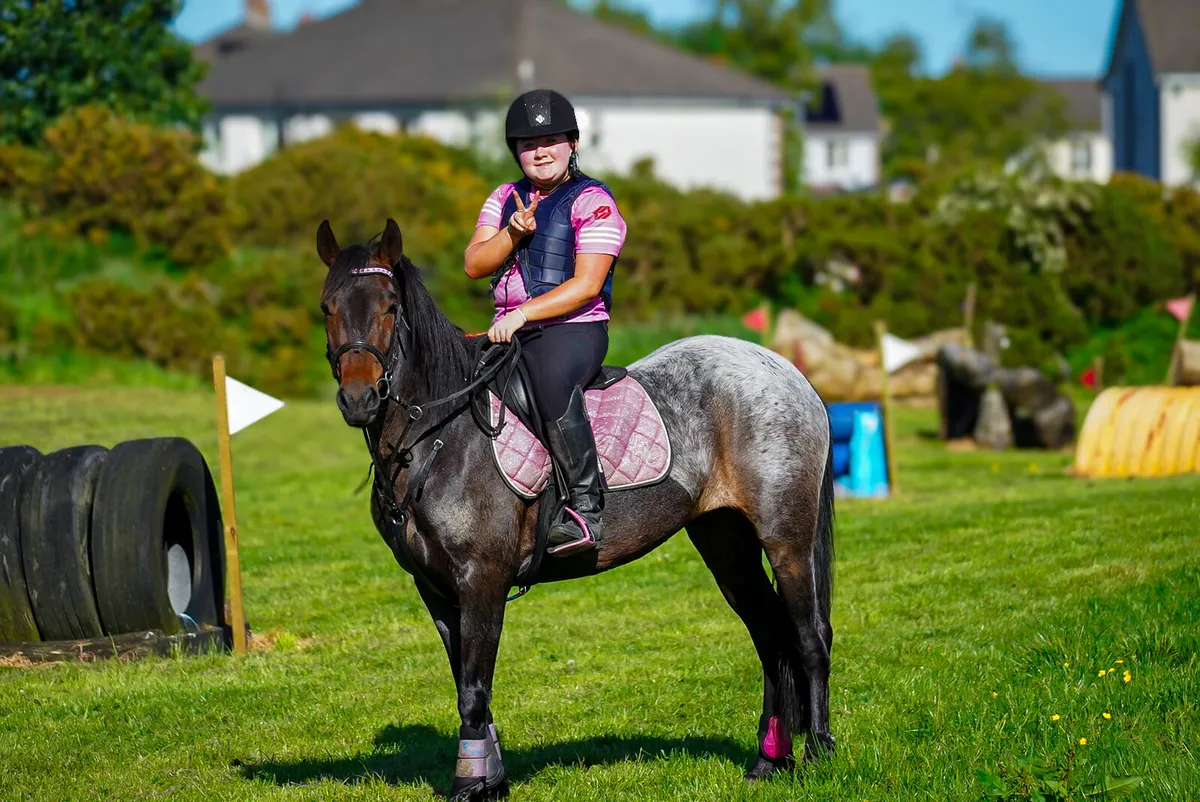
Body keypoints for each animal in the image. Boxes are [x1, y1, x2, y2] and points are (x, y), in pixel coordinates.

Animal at [317, 218, 835, 801]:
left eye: (388, 306)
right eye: (327, 306)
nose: (359, 399)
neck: (440, 435)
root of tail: (786, 372)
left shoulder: (481, 580)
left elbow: (474, 688)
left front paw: (470, 785)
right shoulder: (434, 588)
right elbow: (468, 685)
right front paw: (492, 780)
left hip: (786, 537)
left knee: (809, 636)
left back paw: (818, 753)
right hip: (725, 540)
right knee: (770, 637)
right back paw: (769, 761)